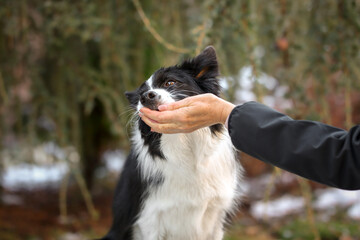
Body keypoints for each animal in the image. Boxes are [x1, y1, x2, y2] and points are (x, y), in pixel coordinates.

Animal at [100, 46, 243, 239]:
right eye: (140, 95)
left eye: (170, 83)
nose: (146, 96)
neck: (187, 149)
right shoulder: (150, 219)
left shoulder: (217, 215)